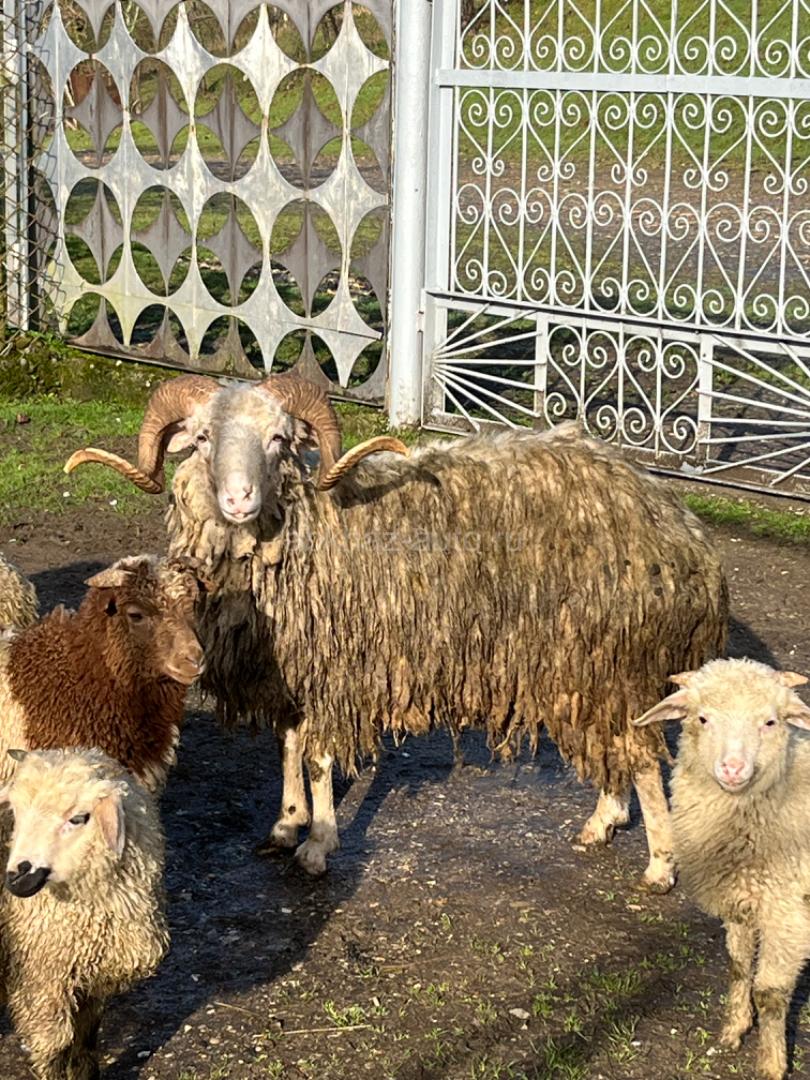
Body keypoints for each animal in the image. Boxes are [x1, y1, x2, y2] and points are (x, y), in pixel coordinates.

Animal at [0, 747, 169, 1080]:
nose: (16, 878)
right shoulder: (45, 978)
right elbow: (53, 1047)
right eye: (16, 811)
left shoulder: (92, 976)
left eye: (78, 819)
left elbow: (86, 1034)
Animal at [65, 373, 728, 887]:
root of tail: (682, 529)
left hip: (614, 656)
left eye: (279, 440)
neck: (306, 528)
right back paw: (604, 821)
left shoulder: (334, 668)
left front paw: (318, 843)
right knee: (621, 747)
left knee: (644, 759)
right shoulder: (291, 669)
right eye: (202, 438)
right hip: (591, 666)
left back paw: (660, 864)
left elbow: (319, 757)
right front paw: (286, 822)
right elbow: (288, 745)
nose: (238, 498)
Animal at [634, 658, 810, 1080]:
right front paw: (734, 1029)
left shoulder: (787, 913)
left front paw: (771, 1063)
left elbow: (770, 993)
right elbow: (738, 965)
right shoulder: (741, 899)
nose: (732, 768)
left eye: (770, 722)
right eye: (703, 718)